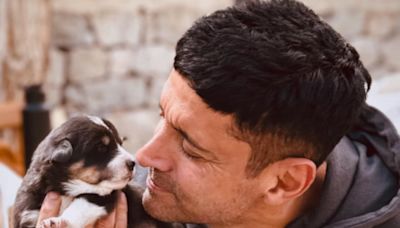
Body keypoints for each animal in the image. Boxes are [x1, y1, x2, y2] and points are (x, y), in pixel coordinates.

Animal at [12, 116, 181, 228]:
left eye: (120, 143)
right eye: (101, 147)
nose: (133, 163)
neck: (66, 188)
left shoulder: (103, 196)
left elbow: (81, 204)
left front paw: (58, 221)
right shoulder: (28, 212)